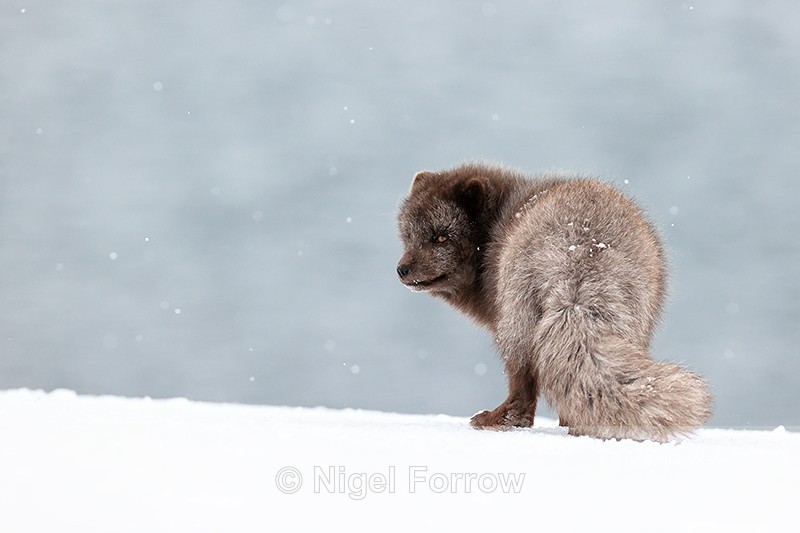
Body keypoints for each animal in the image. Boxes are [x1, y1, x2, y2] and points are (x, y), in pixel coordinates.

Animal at [396, 162, 712, 442]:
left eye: (440, 237)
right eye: (409, 235)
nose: (402, 269)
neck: (495, 226)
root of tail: (580, 252)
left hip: (515, 319)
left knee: (522, 395)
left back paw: (494, 420)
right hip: (631, 324)